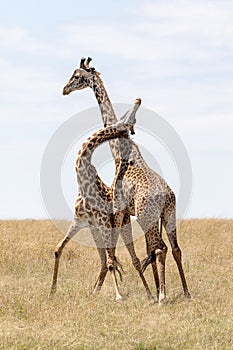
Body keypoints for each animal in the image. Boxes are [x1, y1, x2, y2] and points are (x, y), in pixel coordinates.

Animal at [49, 100, 154, 302]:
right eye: (131, 120)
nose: (138, 100)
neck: (84, 182)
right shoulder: (81, 221)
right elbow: (58, 248)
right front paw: (52, 291)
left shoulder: (104, 222)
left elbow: (113, 260)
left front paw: (118, 296)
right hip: (97, 231)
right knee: (106, 260)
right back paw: (95, 291)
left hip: (120, 226)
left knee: (129, 258)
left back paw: (150, 294)